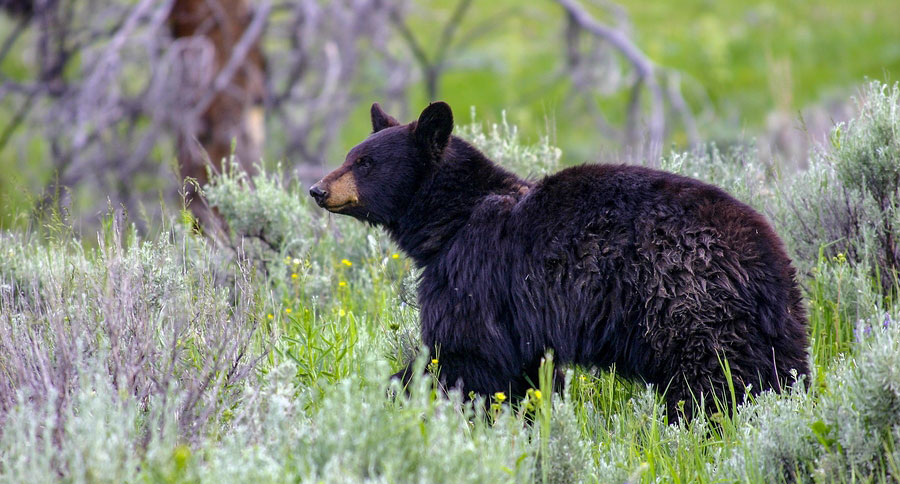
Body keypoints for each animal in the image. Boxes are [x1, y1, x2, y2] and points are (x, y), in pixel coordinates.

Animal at [310, 102, 808, 420]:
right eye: (351, 155)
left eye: (366, 162)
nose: (317, 189)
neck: (453, 219)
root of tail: (765, 256)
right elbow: (521, 374)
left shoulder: (475, 274)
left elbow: (464, 355)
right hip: (773, 323)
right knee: (777, 371)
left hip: (687, 303)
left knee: (711, 380)